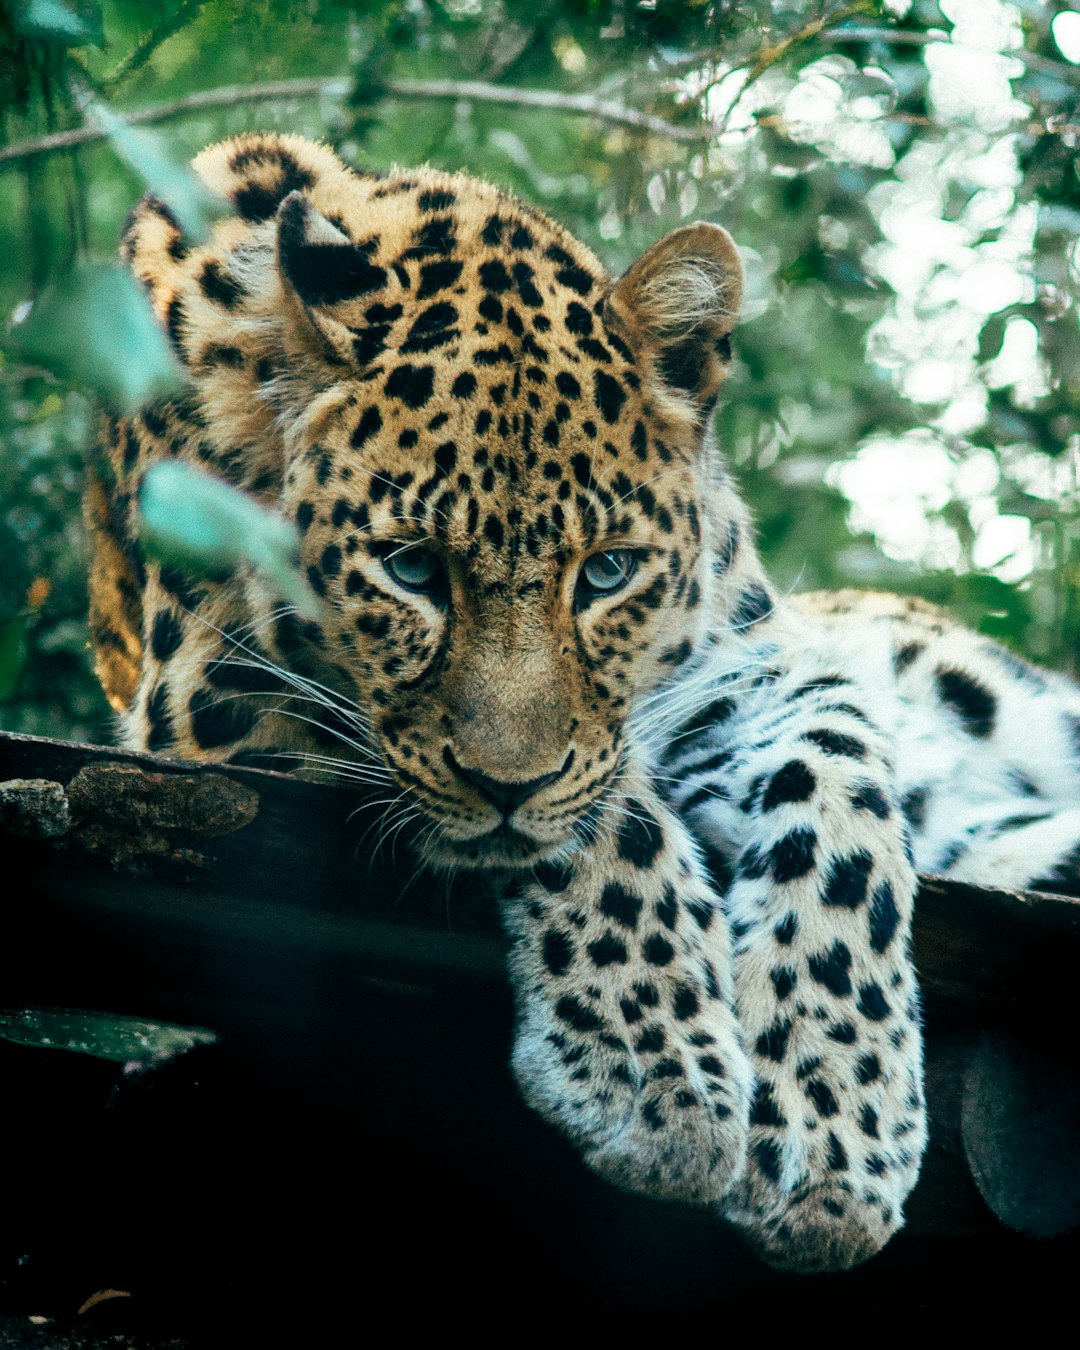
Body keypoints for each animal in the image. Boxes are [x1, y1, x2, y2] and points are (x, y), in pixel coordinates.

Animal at [82, 128, 1080, 1274]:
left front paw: (834, 1121)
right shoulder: (212, 692)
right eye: (412, 569)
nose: (506, 785)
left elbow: (839, 796)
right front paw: (662, 1083)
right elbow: (607, 813)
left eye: (606, 573)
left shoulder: (743, 666)